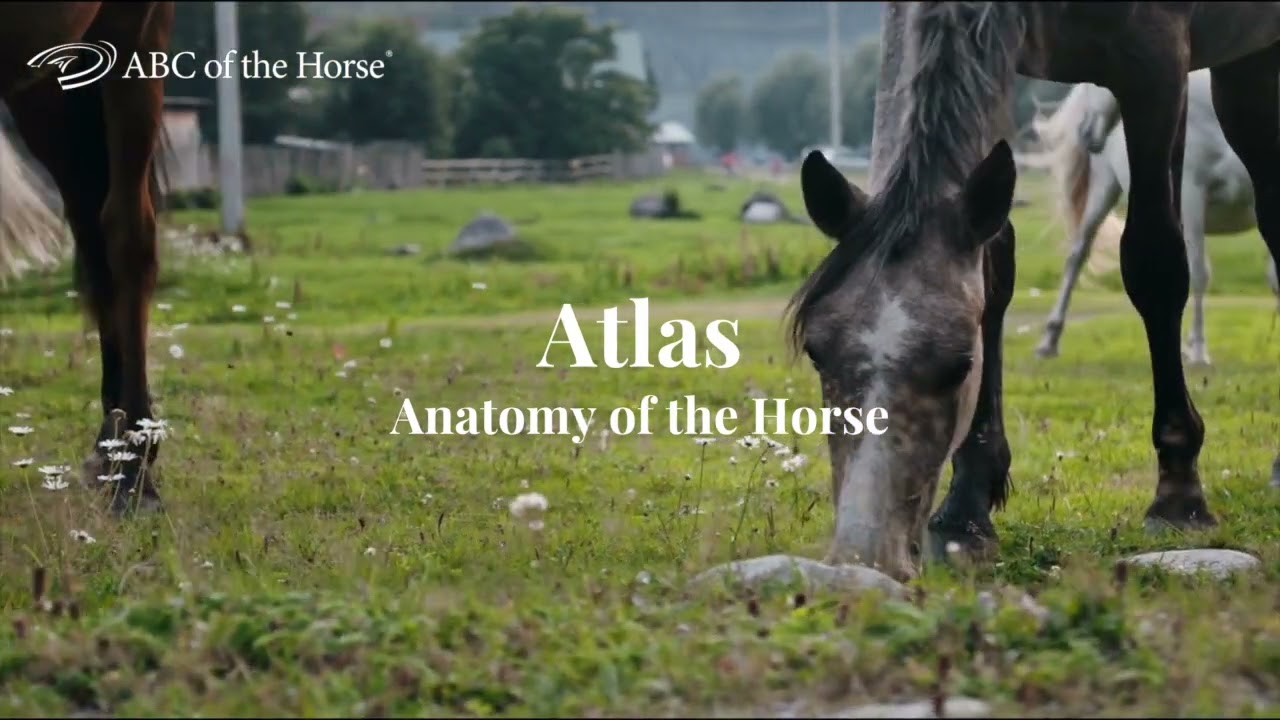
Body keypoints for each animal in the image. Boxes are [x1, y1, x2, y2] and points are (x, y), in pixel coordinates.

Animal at [1032, 71, 1274, 366]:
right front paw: (1199, 351)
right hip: (1104, 187)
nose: (1086, 131)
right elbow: (1199, 274)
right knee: (1077, 256)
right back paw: (1049, 341)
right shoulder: (1191, 195)